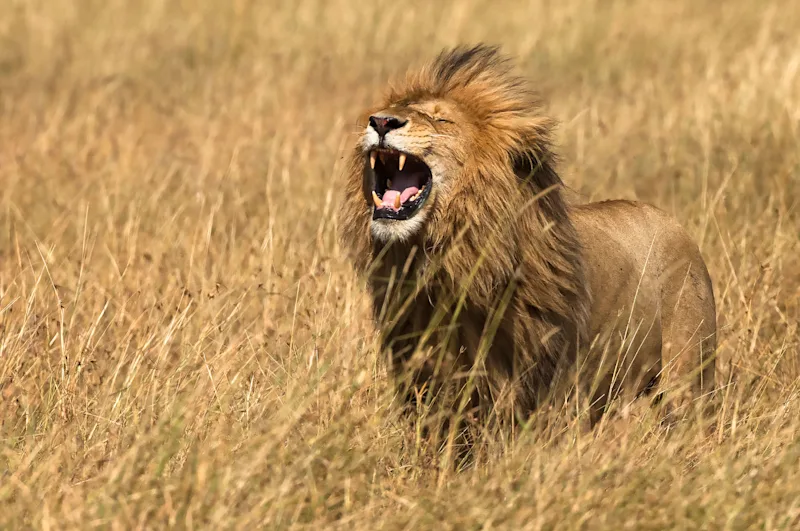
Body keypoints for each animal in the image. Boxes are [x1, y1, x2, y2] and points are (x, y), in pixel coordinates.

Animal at [337, 44, 716, 434]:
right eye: (391, 111)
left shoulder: (548, 381)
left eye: (442, 121)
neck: (445, 261)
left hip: (689, 375)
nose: (381, 122)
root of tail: (672, 221)